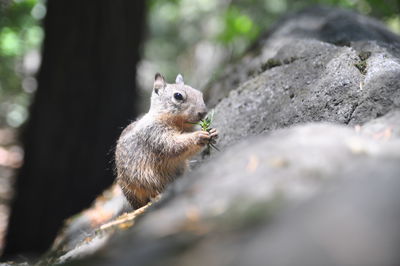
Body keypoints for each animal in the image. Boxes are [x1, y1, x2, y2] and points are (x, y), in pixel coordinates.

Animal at [114, 73, 217, 210]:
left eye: (199, 93)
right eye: (178, 96)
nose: (203, 112)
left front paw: (213, 132)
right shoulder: (155, 134)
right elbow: (173, 145)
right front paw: (199, 135)